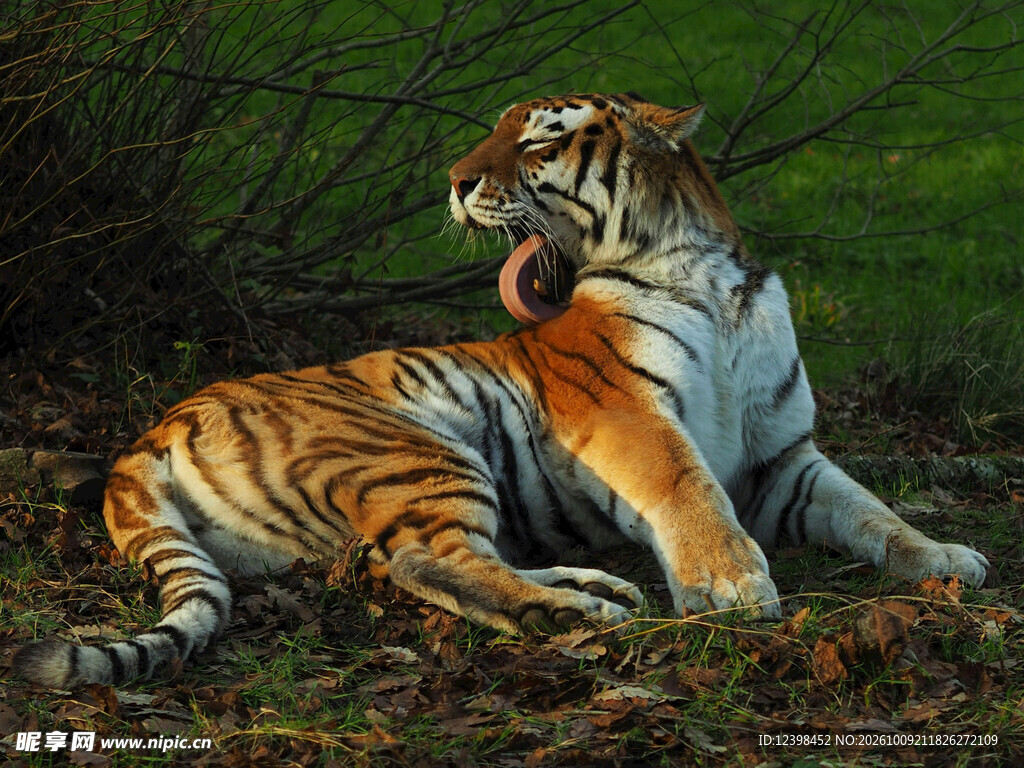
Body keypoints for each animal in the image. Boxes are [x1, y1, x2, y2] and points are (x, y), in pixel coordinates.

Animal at [13, 92, 989, 689]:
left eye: (540, 138)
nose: (453, 182)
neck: (703, 269)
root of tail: (154, 428)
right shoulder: (629, 412)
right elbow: (687, 489)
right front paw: (731, 590)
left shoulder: (782, 458)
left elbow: (872, 513)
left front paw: (946, 560)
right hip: (419, 448)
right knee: (428, 561)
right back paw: (580, 610)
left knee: (415, 560)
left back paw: (597, 587)